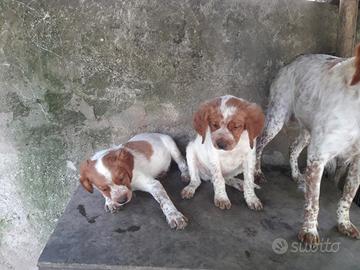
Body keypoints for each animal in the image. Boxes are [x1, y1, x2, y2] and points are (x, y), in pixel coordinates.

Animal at [256, 45, 360, 244]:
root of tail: (292, 62)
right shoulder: (318, 156)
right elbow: (313, 202)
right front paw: (309, 231)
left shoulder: (358, 163)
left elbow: (348, 197)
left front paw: (344, 223)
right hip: (277, 118)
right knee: (258, 144)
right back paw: (256, 172)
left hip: (307, 132)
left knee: (293, 148)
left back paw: (296, 174)